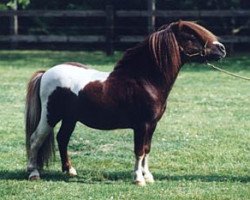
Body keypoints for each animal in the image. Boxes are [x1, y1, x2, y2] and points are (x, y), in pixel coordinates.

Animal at [25, 20, 227, 186]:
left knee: (62, 139)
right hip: (50, 116)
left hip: (70, 118)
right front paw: (138, 179)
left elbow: (146, 150)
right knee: (35, 139)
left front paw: (148, 176)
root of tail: (46, 72)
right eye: (192, 36)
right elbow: (138, 151)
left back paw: (70, 171)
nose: (222, 49)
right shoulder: (141, 125)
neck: (145, 80)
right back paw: (33, 173)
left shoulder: (151, 125)